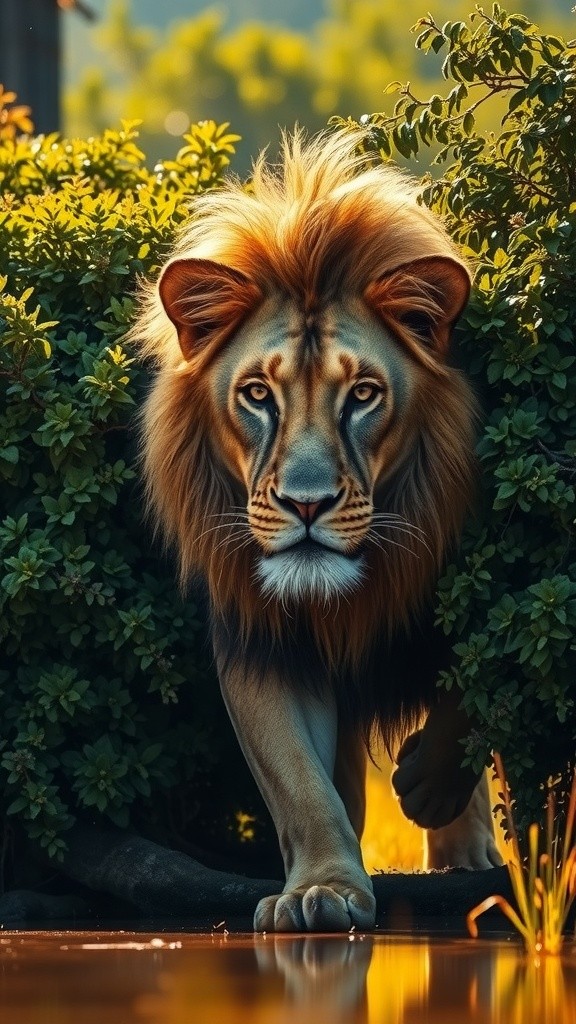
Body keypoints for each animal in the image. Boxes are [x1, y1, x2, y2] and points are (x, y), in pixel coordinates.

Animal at [133, 129, 502, 932]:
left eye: (362, 394)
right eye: (256, 395)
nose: (307, 505)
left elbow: (470, 690)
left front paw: (427, 784)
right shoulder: (261, 637)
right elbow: (299, 781)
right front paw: (323, 889)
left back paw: (466, 852)